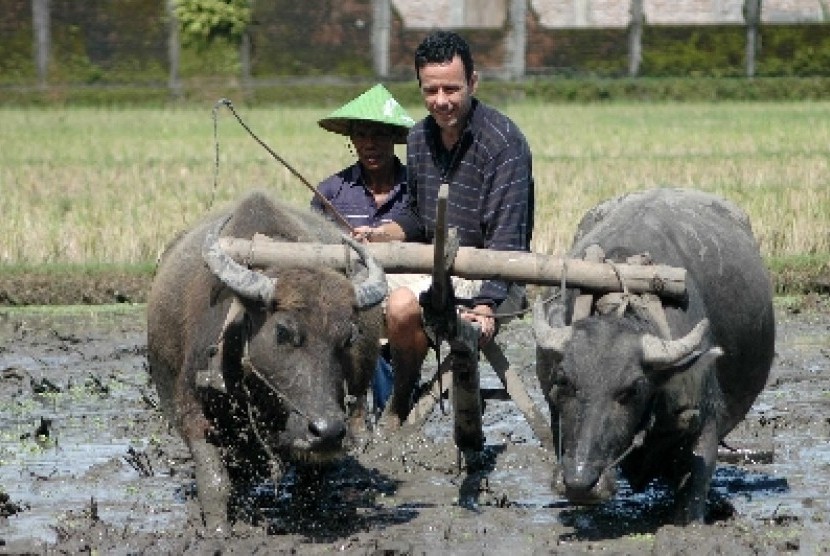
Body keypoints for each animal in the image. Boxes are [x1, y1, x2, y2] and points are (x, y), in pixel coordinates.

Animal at [148, 191, 388, 536]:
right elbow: (214, 480)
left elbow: (311, 483)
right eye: (283, 332)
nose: (327, 430)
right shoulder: (192, 409)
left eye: (349, 337)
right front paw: (218, 532)